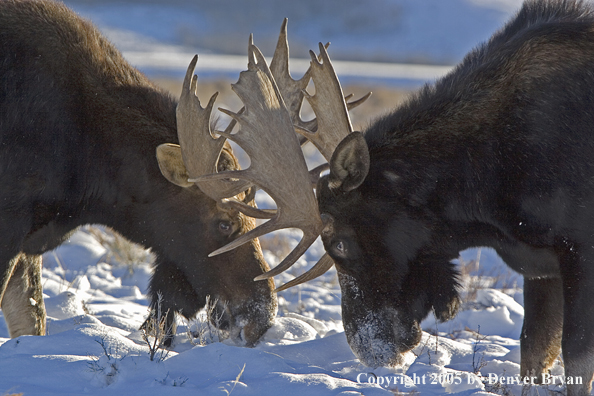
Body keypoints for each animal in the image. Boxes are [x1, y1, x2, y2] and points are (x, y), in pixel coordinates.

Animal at [185, 0, 592, 396]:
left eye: (340, 243)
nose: (367, 349)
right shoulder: (540, 266)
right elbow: (534, 352)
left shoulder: (579, 251)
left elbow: (574, 357)